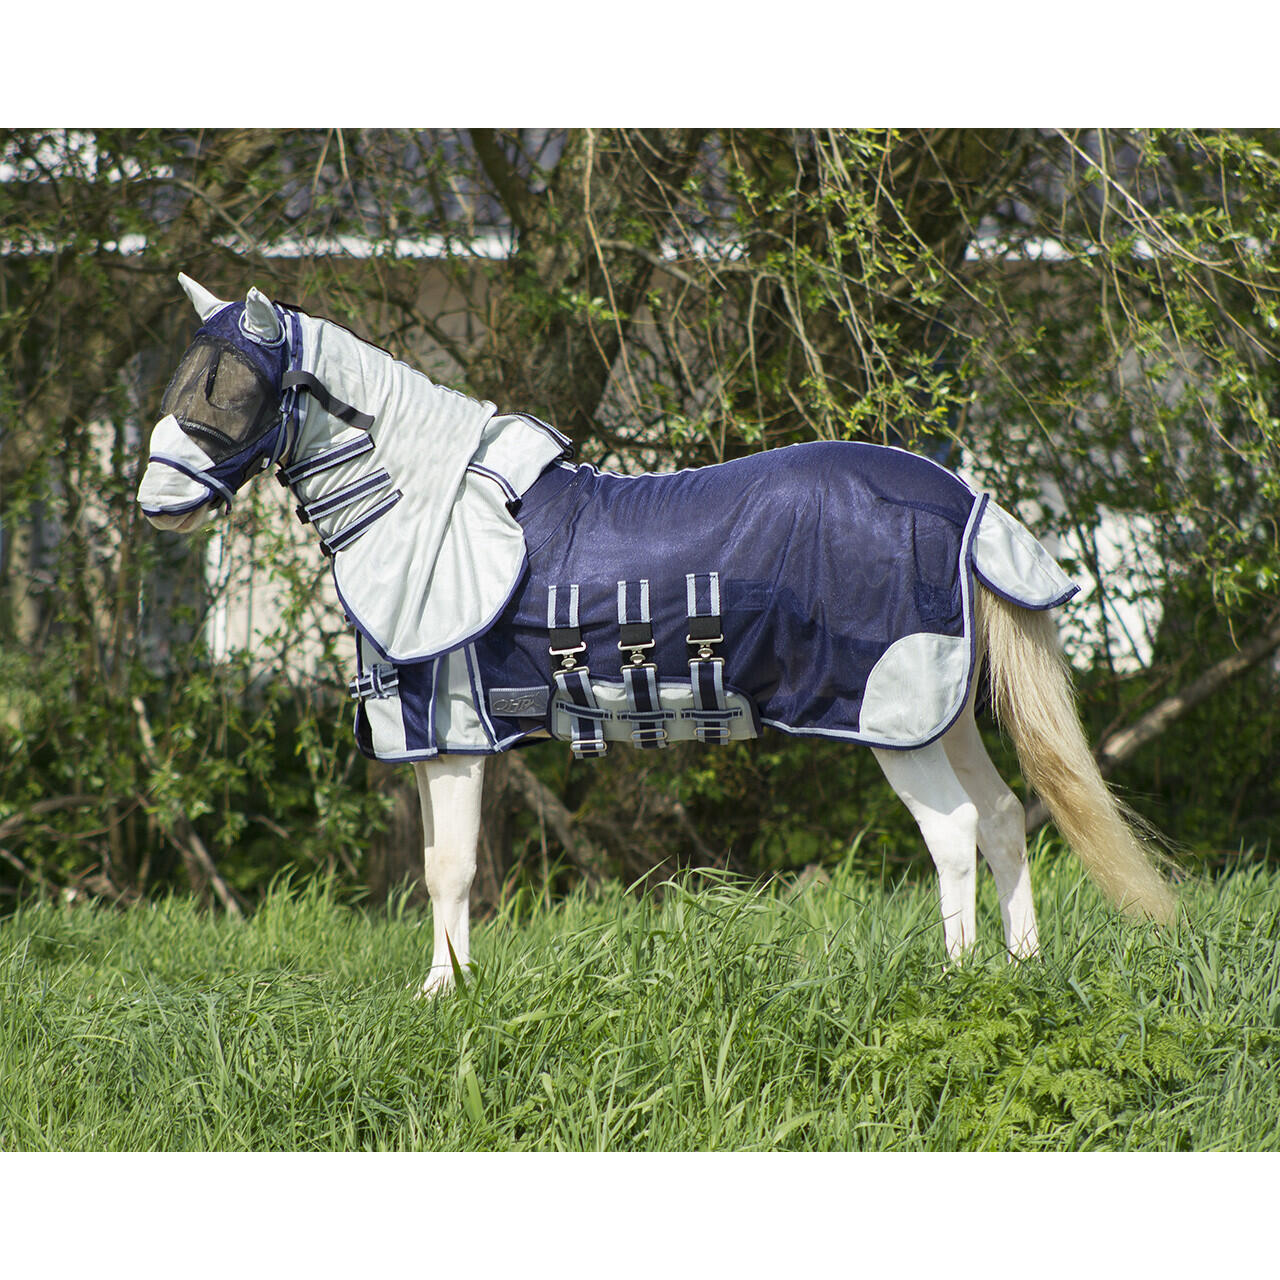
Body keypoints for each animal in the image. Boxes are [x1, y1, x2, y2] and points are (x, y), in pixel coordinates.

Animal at [136, 274, 1177, 996]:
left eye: (230, 385)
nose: (153, 506)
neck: (422, 506)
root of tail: (962, 498)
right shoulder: (443, 744)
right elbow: (445, 870)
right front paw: (448, 986)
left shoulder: (456, 741)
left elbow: (448, 867)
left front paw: (441, 995)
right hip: (938, 714)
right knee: (1001, 819)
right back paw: (1022, 968)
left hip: (893, 716)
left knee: (955, 831)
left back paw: (959, 983)